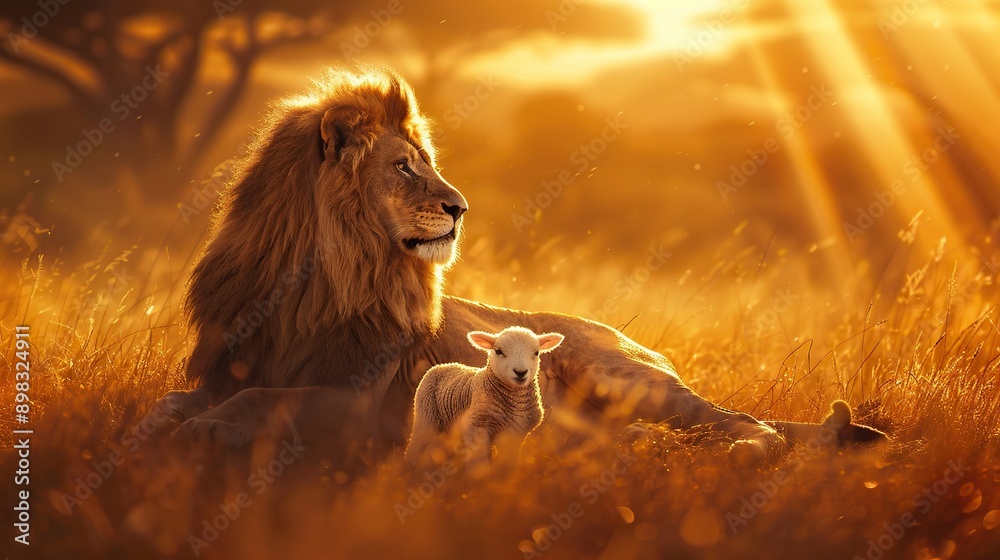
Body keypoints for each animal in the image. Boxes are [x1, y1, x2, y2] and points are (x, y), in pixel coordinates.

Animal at [404, 326, 565, 471]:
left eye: (536, 353)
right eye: (499, 351)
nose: (520, 372)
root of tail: (445, 364)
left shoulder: (516, 434)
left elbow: (509, 463)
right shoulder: (476, 427)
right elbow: (479, 463)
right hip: (426, 416)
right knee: (417, 445)